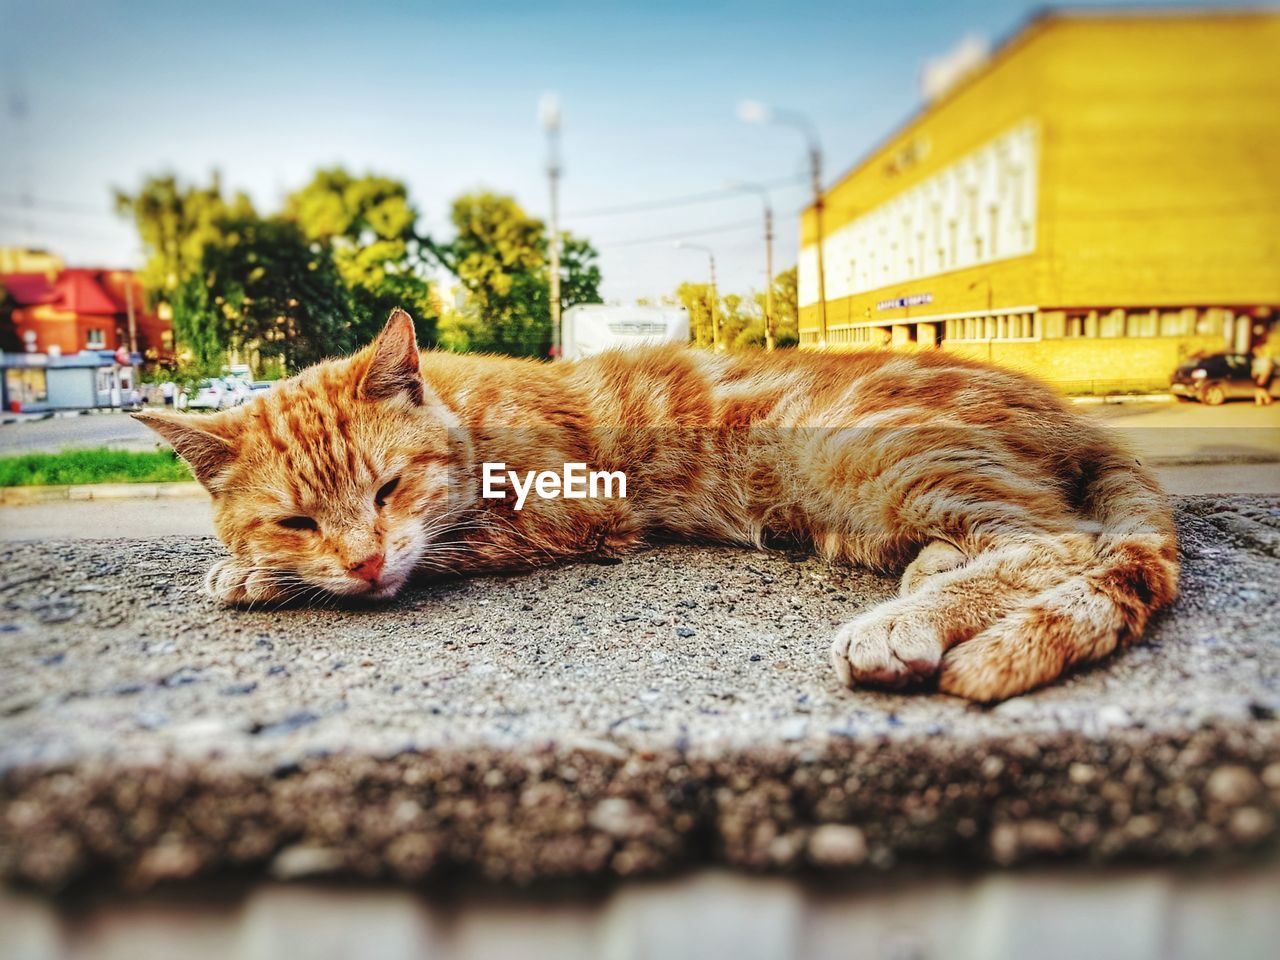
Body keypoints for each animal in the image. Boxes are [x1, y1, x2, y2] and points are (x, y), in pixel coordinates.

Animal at [137, 312, 1177, 701]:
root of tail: (1061, 404)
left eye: (389, 488)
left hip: (876, 456)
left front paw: (253, 578)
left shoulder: (562, 517)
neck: (467, 410)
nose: (359, 560)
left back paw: (906, 623)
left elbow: (449, 544)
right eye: (297, 519)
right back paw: (928, 577)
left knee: (1061, 543)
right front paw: (261, 567)